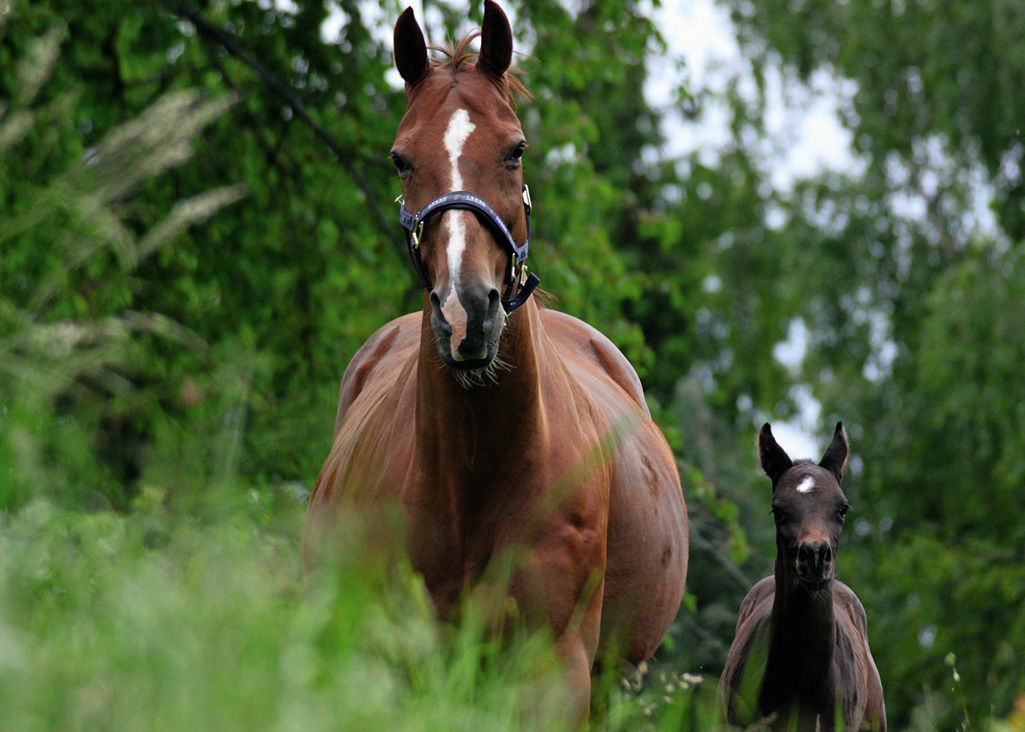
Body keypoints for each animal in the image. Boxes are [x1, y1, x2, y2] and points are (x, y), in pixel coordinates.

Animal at [303, 0, 688, 717]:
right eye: (400, 159)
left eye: (515, 149)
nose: (466, 314)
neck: (471, 471)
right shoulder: (386, 661)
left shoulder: (551, 672)